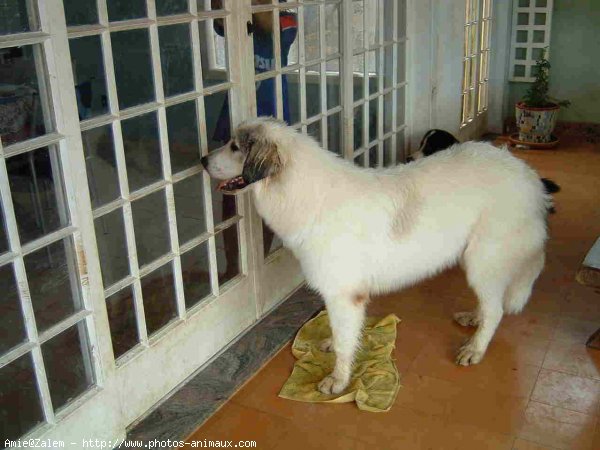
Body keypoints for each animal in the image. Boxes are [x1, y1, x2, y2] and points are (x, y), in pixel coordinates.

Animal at [204, 118, 552, 394]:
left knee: (496, 310)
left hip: (483, 262)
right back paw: (474, 318)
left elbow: (345, 342)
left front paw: (338, 380)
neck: (304, 194)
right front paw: (333, 345)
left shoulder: (345, 295)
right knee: (490, 302)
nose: (203, 159)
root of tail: (529, 177)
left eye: (235, 146)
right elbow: (340, 332)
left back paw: (475, 348)